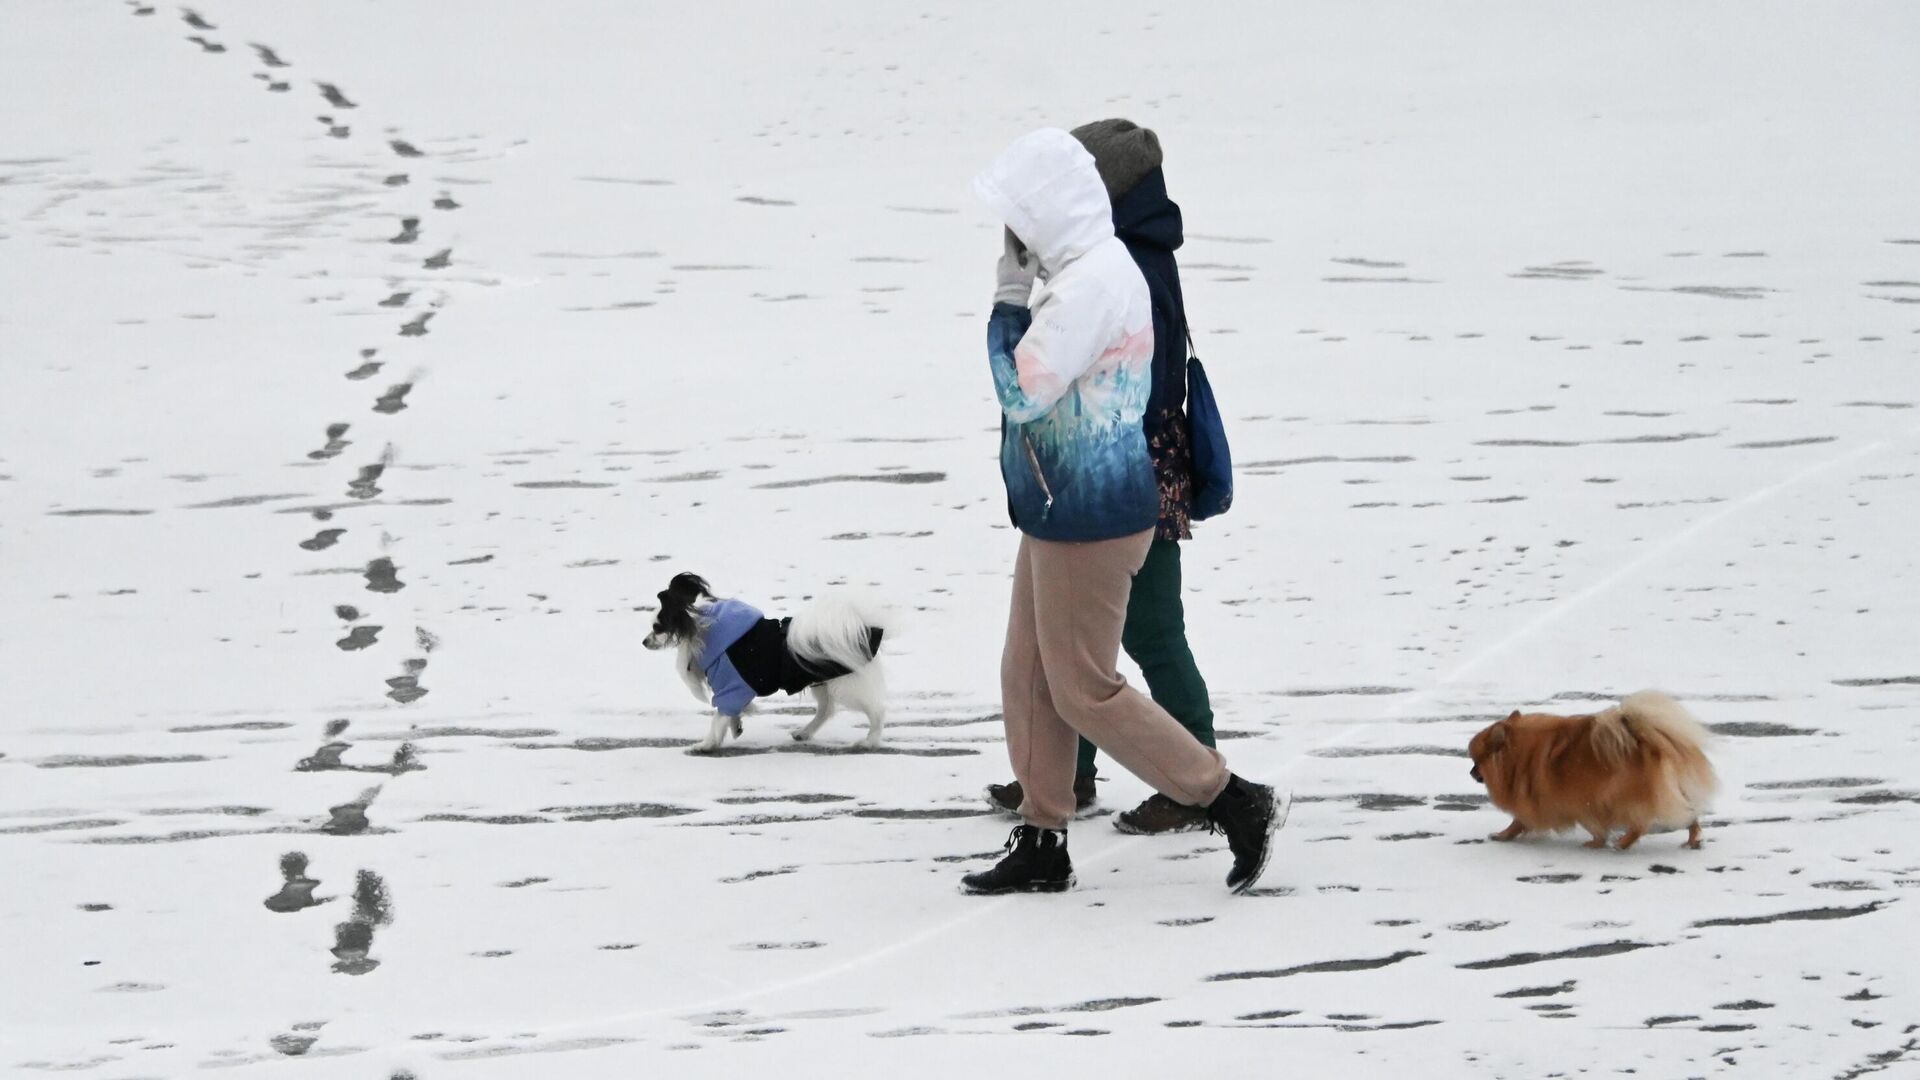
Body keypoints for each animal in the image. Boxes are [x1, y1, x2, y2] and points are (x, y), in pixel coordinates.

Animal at [641, 572, 887, 749]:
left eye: (658, 627)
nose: (644, 642)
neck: (704, 629)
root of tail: (864, 629)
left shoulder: (731, 687)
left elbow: (718, 716)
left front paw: (706, 744)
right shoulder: (735, 691)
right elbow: (730, 713)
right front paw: (735, 726)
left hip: (847, 686)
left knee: (876, 711)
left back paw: (870, 741)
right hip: (823, 683)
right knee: (826, 709)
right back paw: (804, 732)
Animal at [1459, 687, 1720, 849]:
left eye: (1476, 762)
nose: (1470, 772)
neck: (1519, 756)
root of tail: (1646, 739)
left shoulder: (1573, 800)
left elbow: (1518, 822)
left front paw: (1502, 835)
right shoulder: (1583, 802)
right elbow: (1595, 827)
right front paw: (1596, 842)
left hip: (1623, 798)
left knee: (1640, 824)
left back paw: (1623, 844)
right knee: (1690, 816)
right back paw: (1692, 840)